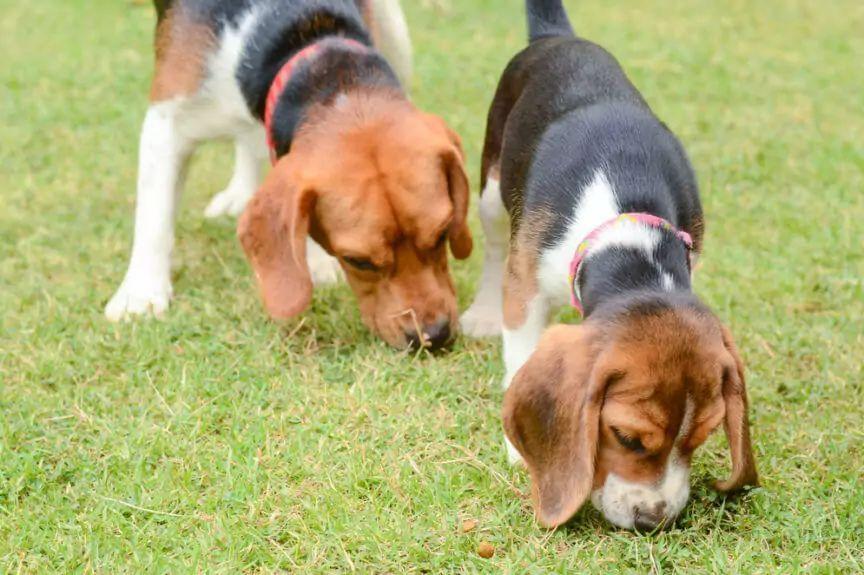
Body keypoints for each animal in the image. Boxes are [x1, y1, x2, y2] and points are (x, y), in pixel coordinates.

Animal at [109, 1, 472, 352]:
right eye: (358, 261)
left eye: (443, 234)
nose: (434, 336)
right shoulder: (167, 122)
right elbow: (155, 219)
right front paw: (141, 292)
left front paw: (317, 258)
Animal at [462, 1, 760, 532]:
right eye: (627, 438)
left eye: (701, 438)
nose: (653, 520)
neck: (628, 238)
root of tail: (558, 36)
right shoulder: (526, 287)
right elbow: (520, 350)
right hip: (493, 188)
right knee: (495, 246)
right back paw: (481, 312)